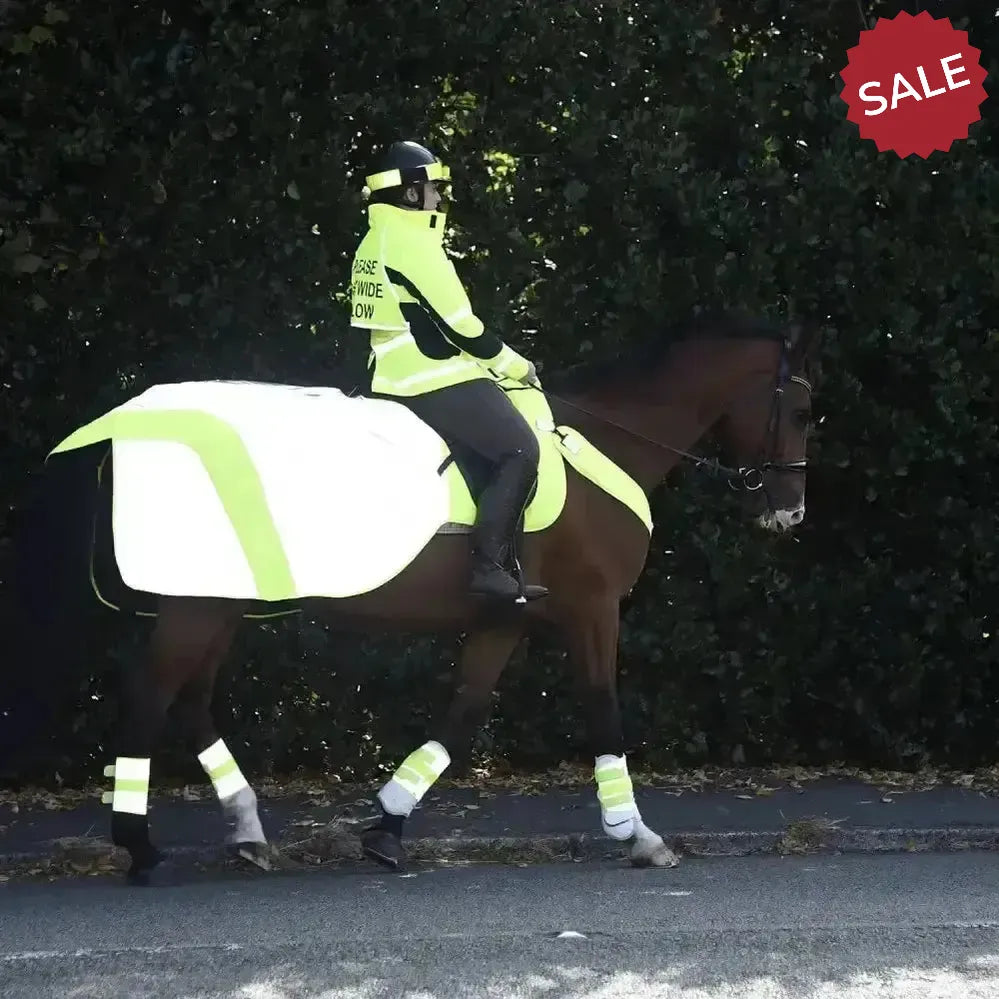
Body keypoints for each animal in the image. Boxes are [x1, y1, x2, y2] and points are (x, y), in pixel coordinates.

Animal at [6, 313, 820, 885]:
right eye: (801, 411)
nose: (789, 514)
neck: (604, 439)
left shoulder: (504, 618)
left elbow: (460, 715)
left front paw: (385, 828)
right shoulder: (592, 610)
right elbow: (601, 709)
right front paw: (637, 834)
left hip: (218, 601)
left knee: (190, 701)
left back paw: (247, 833)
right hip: (196, 602)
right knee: (151, 696)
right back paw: (141, 847)